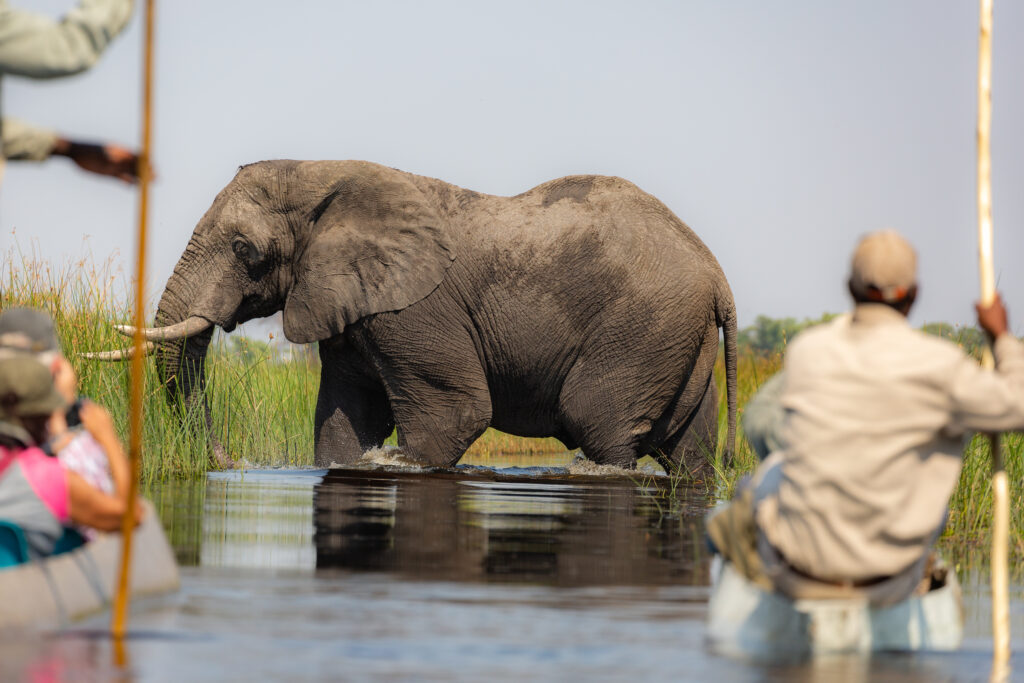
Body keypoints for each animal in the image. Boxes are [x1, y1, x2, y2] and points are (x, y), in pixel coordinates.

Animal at [96, 160, 737, 473]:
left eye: (244, 250)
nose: (229, 462)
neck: (325, 176)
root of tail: (716, 273)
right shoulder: (351, 303)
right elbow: (344, 418)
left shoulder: (415, 308)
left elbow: (458, 412)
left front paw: (396, 461)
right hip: (677, 338)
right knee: (689, 451)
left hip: (641, 328)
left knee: (598, 424)